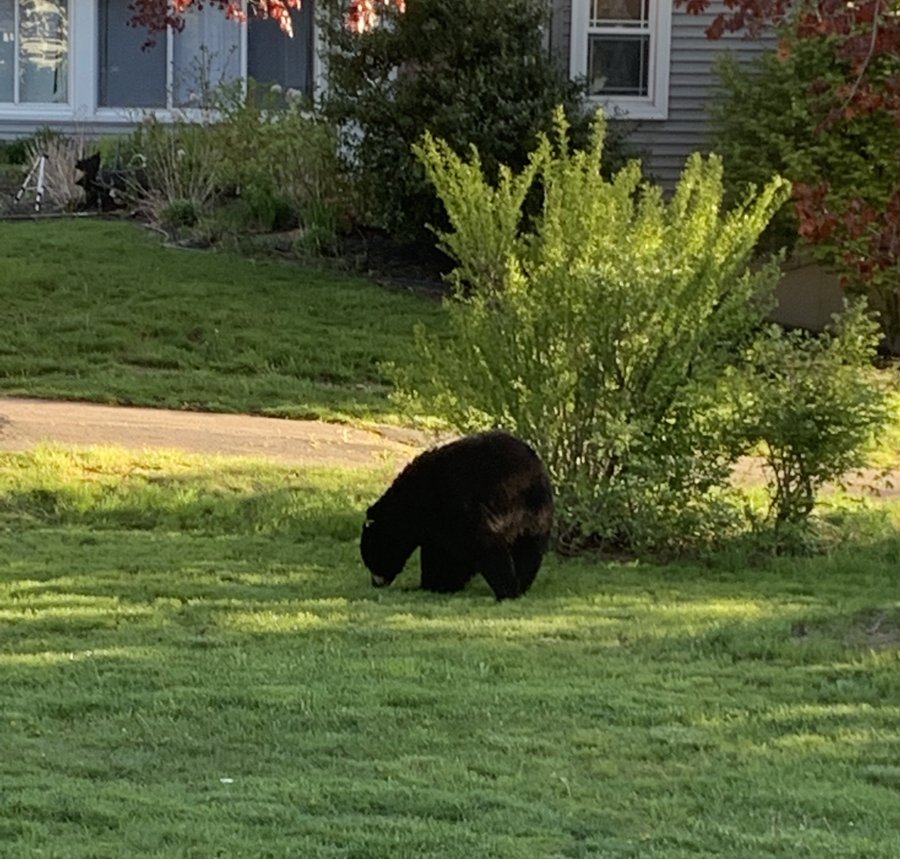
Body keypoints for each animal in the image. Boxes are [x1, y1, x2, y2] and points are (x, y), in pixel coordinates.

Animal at [360, 430, 554, 600]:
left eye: (370, 558)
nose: (376, 583)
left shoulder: (445, 510)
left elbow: (447, 553)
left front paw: (433, 584)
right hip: (537, 517)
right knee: (529, 551)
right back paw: (521, 585)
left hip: (485, 509)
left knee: (489, 546)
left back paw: (506, 591)